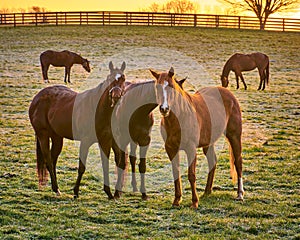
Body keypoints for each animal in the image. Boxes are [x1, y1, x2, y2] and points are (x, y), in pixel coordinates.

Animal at [28, 61, 125, 198]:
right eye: (110, 78)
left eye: (123, 79)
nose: (116, 96)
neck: (99, 111)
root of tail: (37, 98)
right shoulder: (85, 142)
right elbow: (82, 167)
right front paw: (75, 192)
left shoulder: (106, 141)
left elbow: (106, 165)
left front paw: (109, 193)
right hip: (43, 135)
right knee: (48, 160)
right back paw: (56, 189)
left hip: (57, 137)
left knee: (53, 160)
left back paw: (55, 188)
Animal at [149, 67, 244, 208]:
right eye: (157, 87)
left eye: (171, 86)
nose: (164, 109)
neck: (180, 117)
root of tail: (228, 93)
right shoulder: (171, 149)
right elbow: (176, 173)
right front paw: (177, 200)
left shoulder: (191, 148)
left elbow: (191, 175)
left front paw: (194, 202)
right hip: (208, 143)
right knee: (212, 161)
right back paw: (207, 191)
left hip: (235, 136)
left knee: (238, 162)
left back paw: (240, 194)